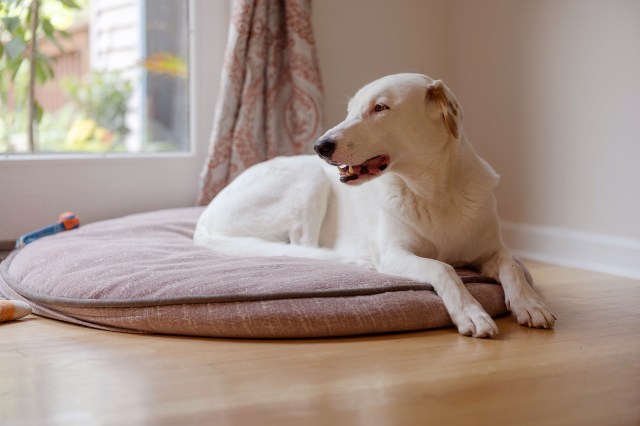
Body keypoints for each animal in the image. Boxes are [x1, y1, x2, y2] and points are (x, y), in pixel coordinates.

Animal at [195, 74, 556, 340]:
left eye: (380, 108)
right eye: (350, 110)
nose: (319, 146)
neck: (433, 190)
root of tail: (205, 219)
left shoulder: (491, 250)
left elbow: (512, 266)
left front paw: (529, 303)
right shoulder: (396, 253)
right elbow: (443, 268)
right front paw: (470, 311)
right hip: (310, 178)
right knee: (304, 246)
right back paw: (355, 261)